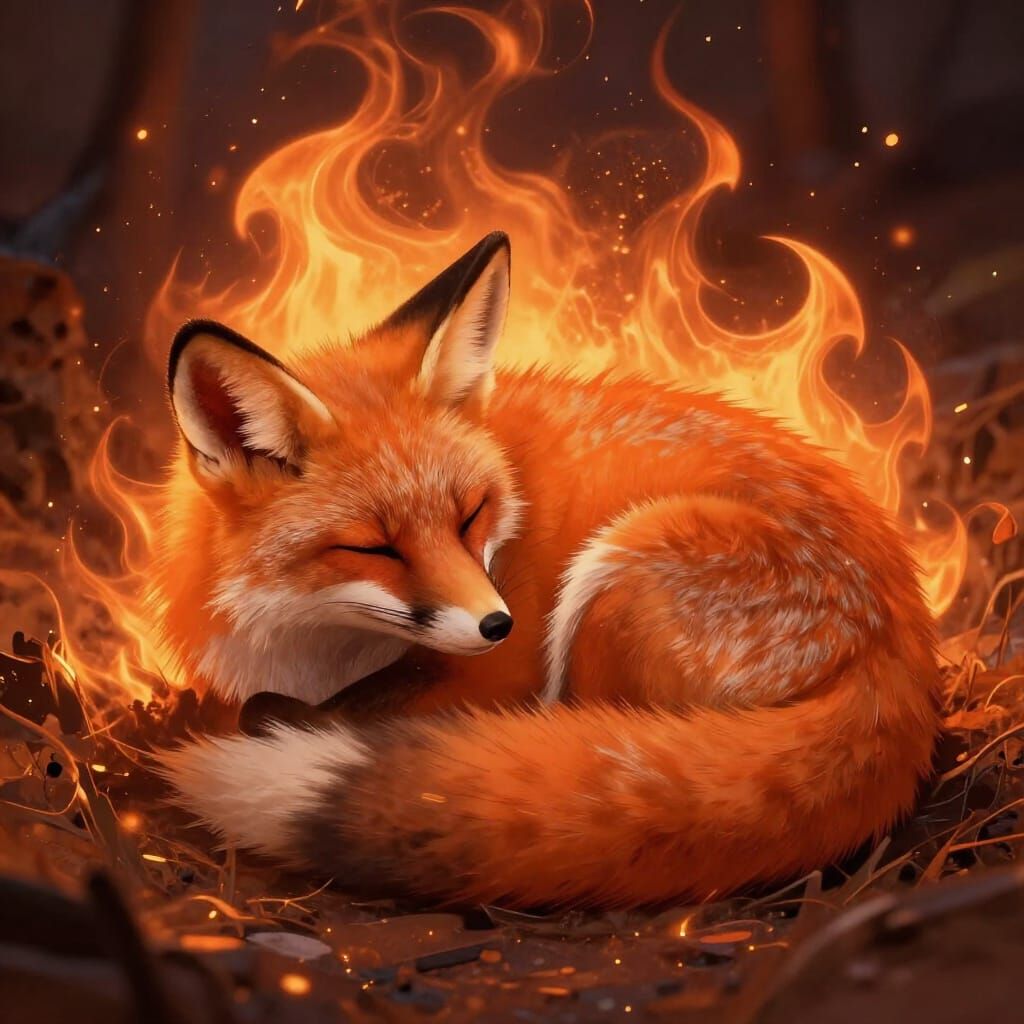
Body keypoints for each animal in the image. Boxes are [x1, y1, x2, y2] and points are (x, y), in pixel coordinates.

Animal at [156, 231, 941, 907]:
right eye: (375, 548)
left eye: (471, 514)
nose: (497, 624)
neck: (313, 643)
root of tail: (904, 644)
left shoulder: (494, 676)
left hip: (616, 575)